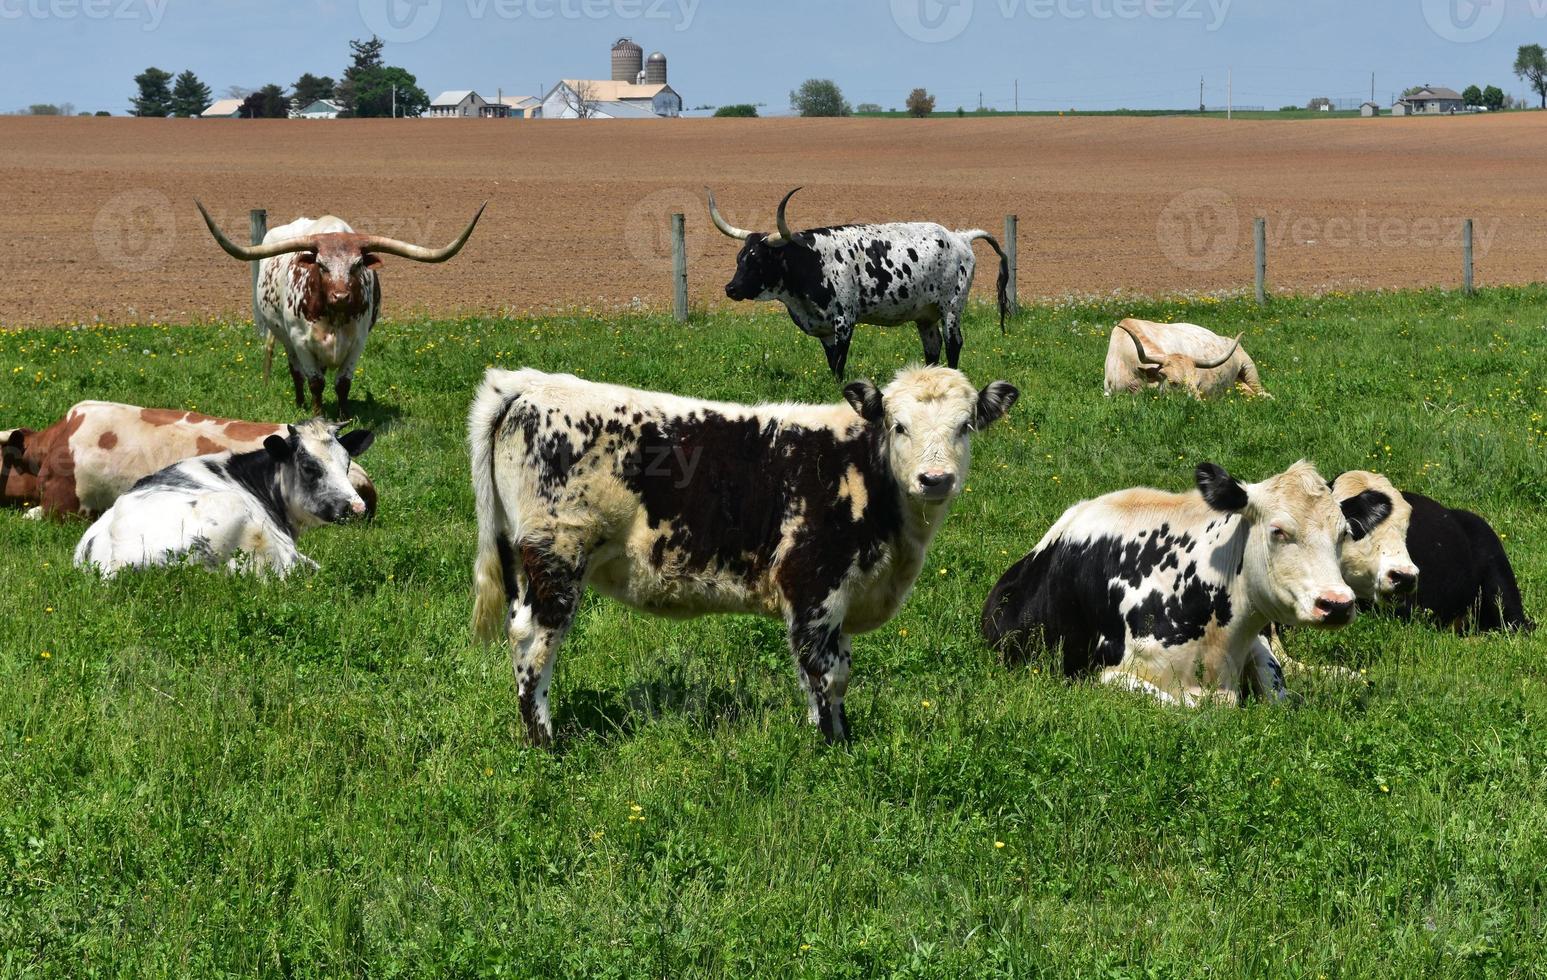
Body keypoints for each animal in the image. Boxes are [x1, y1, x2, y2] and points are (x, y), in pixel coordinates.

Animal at [196, 201, 482, 414]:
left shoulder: (358, 342)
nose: (341, 296)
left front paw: (344, 416)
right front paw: (317, 415)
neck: (334, 317)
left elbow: (343, 383)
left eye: (357, 264)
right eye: (321, 265)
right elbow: (315, 382)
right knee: (296, 373)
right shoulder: (300, 341)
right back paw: (300, 403)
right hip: (285, 339)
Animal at [470, 365, 1027, 740]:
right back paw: (546, 741)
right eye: (899, 425)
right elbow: (826, 672)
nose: (935, 479)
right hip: (557, 555)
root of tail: (528, 384)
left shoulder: (841, 599)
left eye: (965, 426)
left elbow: (834, 671)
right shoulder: (814, 587)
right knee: (534, 643)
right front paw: (832, 748)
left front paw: (835, 735)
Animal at [708, 185, 1008, 380]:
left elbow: (840, 361)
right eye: (739, 258)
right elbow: (832, 363)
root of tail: (960, 236)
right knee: (932, 349)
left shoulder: (844, 321)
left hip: (952, 308)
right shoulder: (824, 329)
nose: (730, 288)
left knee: (954, 343)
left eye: (758, 260)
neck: (811, 262)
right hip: (926, 316)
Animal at [977, 458, 1404, 702]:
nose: (1337, 604)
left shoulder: (1256, 645)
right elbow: (1192, 706)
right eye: (1279, 531)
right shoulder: (1105, 673)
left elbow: (1280, 692)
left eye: (1344, 533)